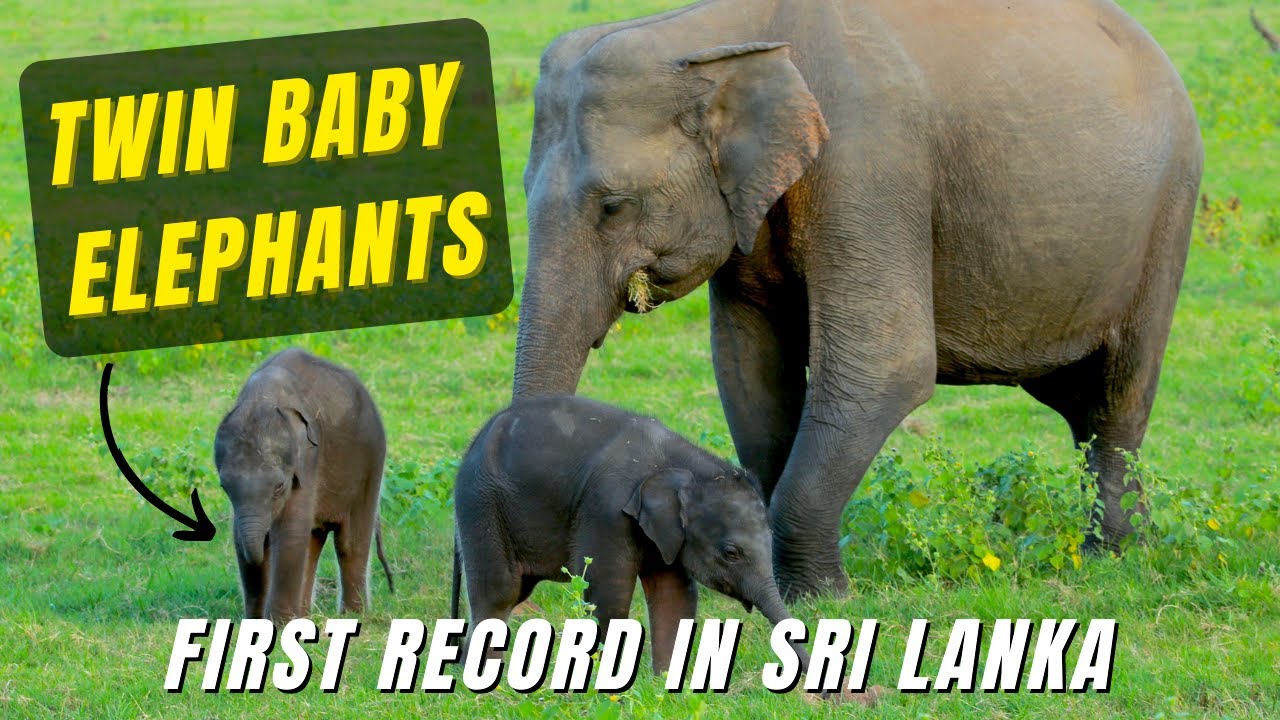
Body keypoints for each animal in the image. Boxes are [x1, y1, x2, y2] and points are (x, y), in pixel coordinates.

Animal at [215, 348, 393, 622]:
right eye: (225, 487)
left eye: (279, 487)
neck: (262, 398)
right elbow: (239, 536)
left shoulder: (308, 460)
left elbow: (290, 532)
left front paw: (279, 625)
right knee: (312, 540)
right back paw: (305, 615)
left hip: (371, 460)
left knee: (349, 543)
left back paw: (353, 615)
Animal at [451, 395, 811, 675]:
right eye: (731, 553)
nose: (821, 697)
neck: (682, 464)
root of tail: (474, 440)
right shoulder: (606, 509)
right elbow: (608, 591)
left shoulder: (666, 535)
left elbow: (674, 594)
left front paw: (665, 684)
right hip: (481, 504)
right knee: (499, 592)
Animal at [512, 0, 1204, 599]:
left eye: (613, 206)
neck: (718, 34)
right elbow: (750, 374)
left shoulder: (869, 163)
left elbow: (888, 367)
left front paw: (822, 600)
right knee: (1082, 406)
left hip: (1169, 215)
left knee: (1118, 398)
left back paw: (1113, 558)